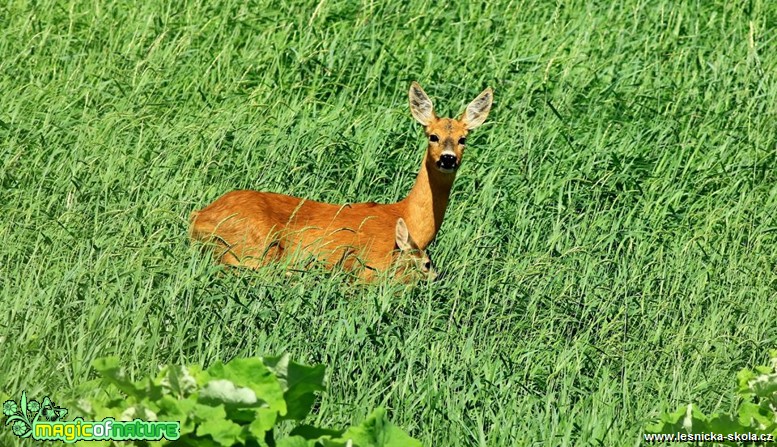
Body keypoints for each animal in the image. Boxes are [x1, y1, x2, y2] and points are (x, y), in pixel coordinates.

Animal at [189, 82, 492, 282]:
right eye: (433, 136)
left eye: (463, 139)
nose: (448, 159)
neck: (405, 217)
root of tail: (198, 218)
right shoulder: (371, 268)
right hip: (254, 249)